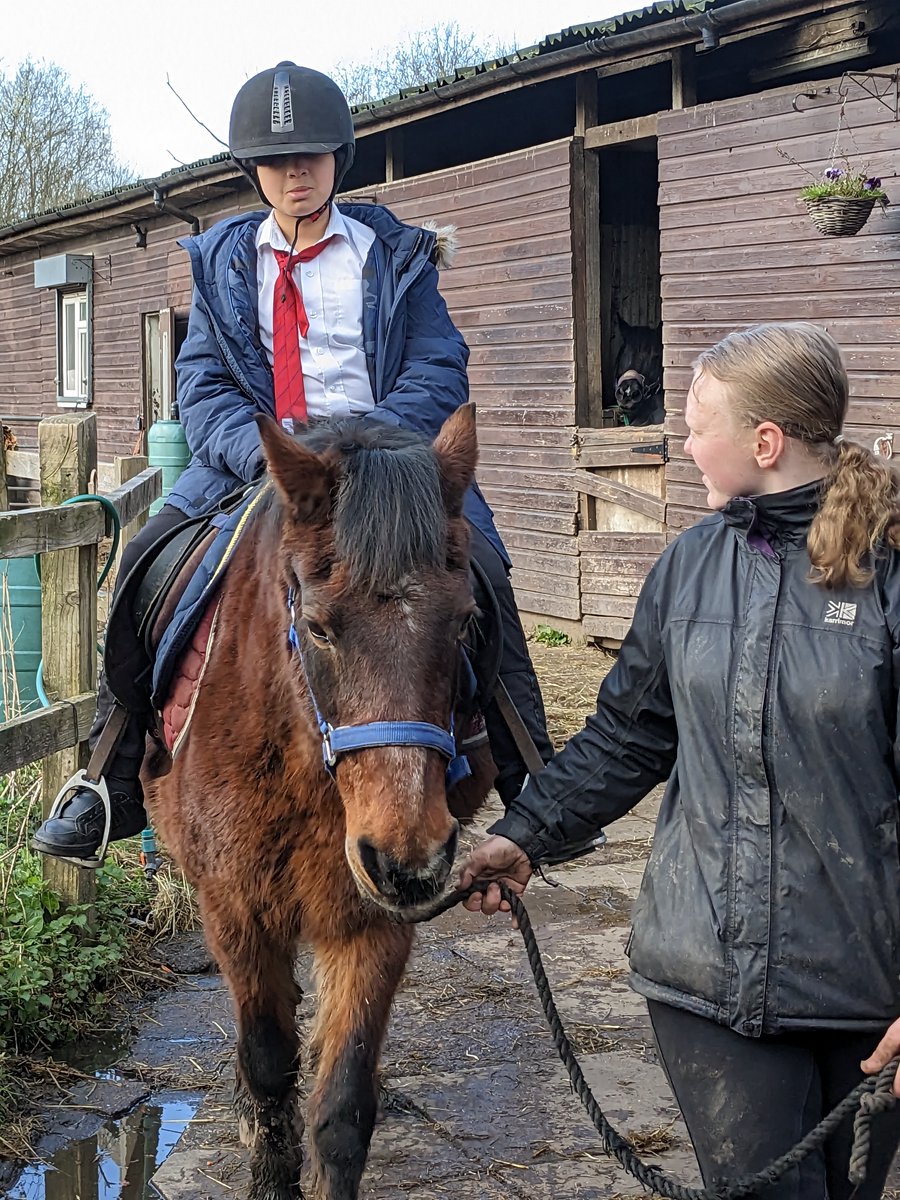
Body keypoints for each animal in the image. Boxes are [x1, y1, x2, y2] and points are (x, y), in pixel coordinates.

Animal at [143, 405, 495, 1200]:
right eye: (320, 627)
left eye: (463, 620)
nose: (408, 860)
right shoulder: (235, 910)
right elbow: (271, 1064)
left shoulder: (371, 922)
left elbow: (341, 1105)